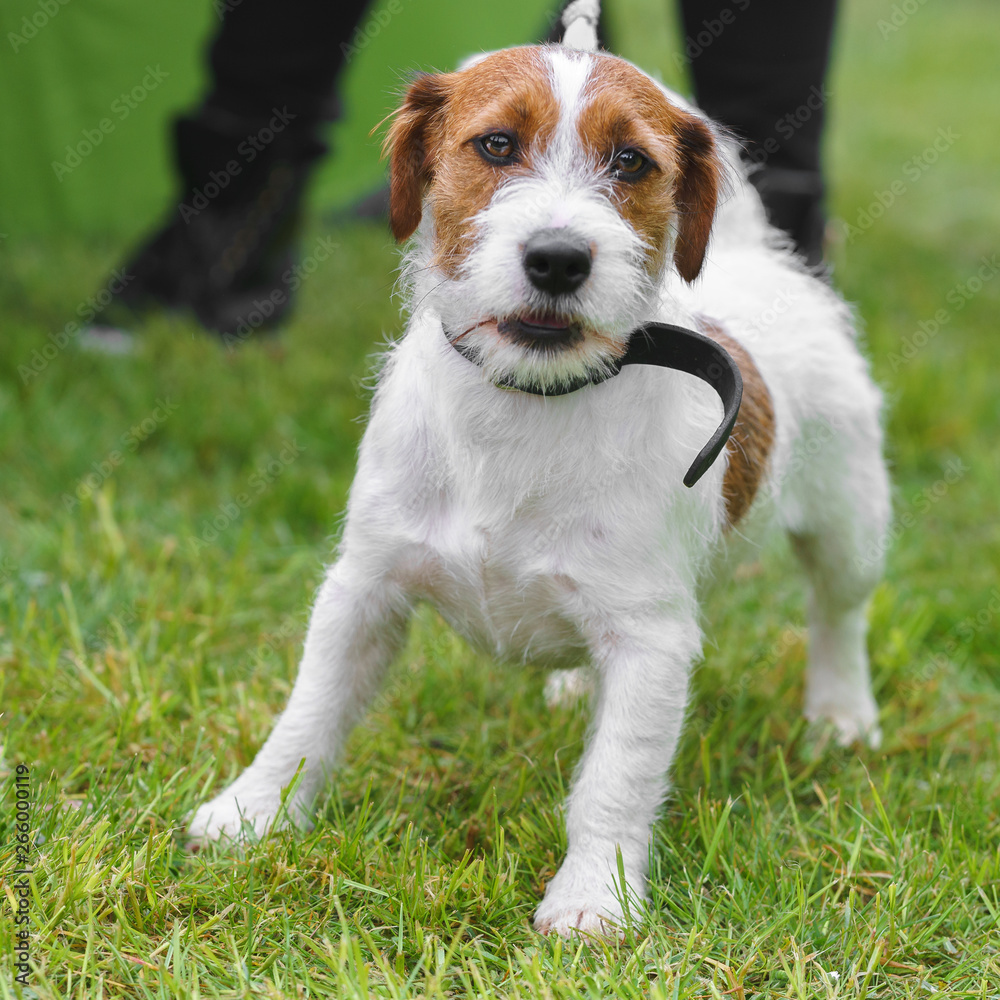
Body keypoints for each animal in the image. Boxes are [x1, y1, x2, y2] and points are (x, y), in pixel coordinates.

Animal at [188, 43, 892, 940]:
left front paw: (595, 897)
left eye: (631, 162)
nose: (558, 258)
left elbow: (615, 777)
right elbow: (308, 712)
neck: (526, 403)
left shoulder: (650, 640)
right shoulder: (364, 586)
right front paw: (253, 814)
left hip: (850, 523)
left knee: (839, 614)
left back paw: (841, 715)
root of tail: (760, 261)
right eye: (495, 145)